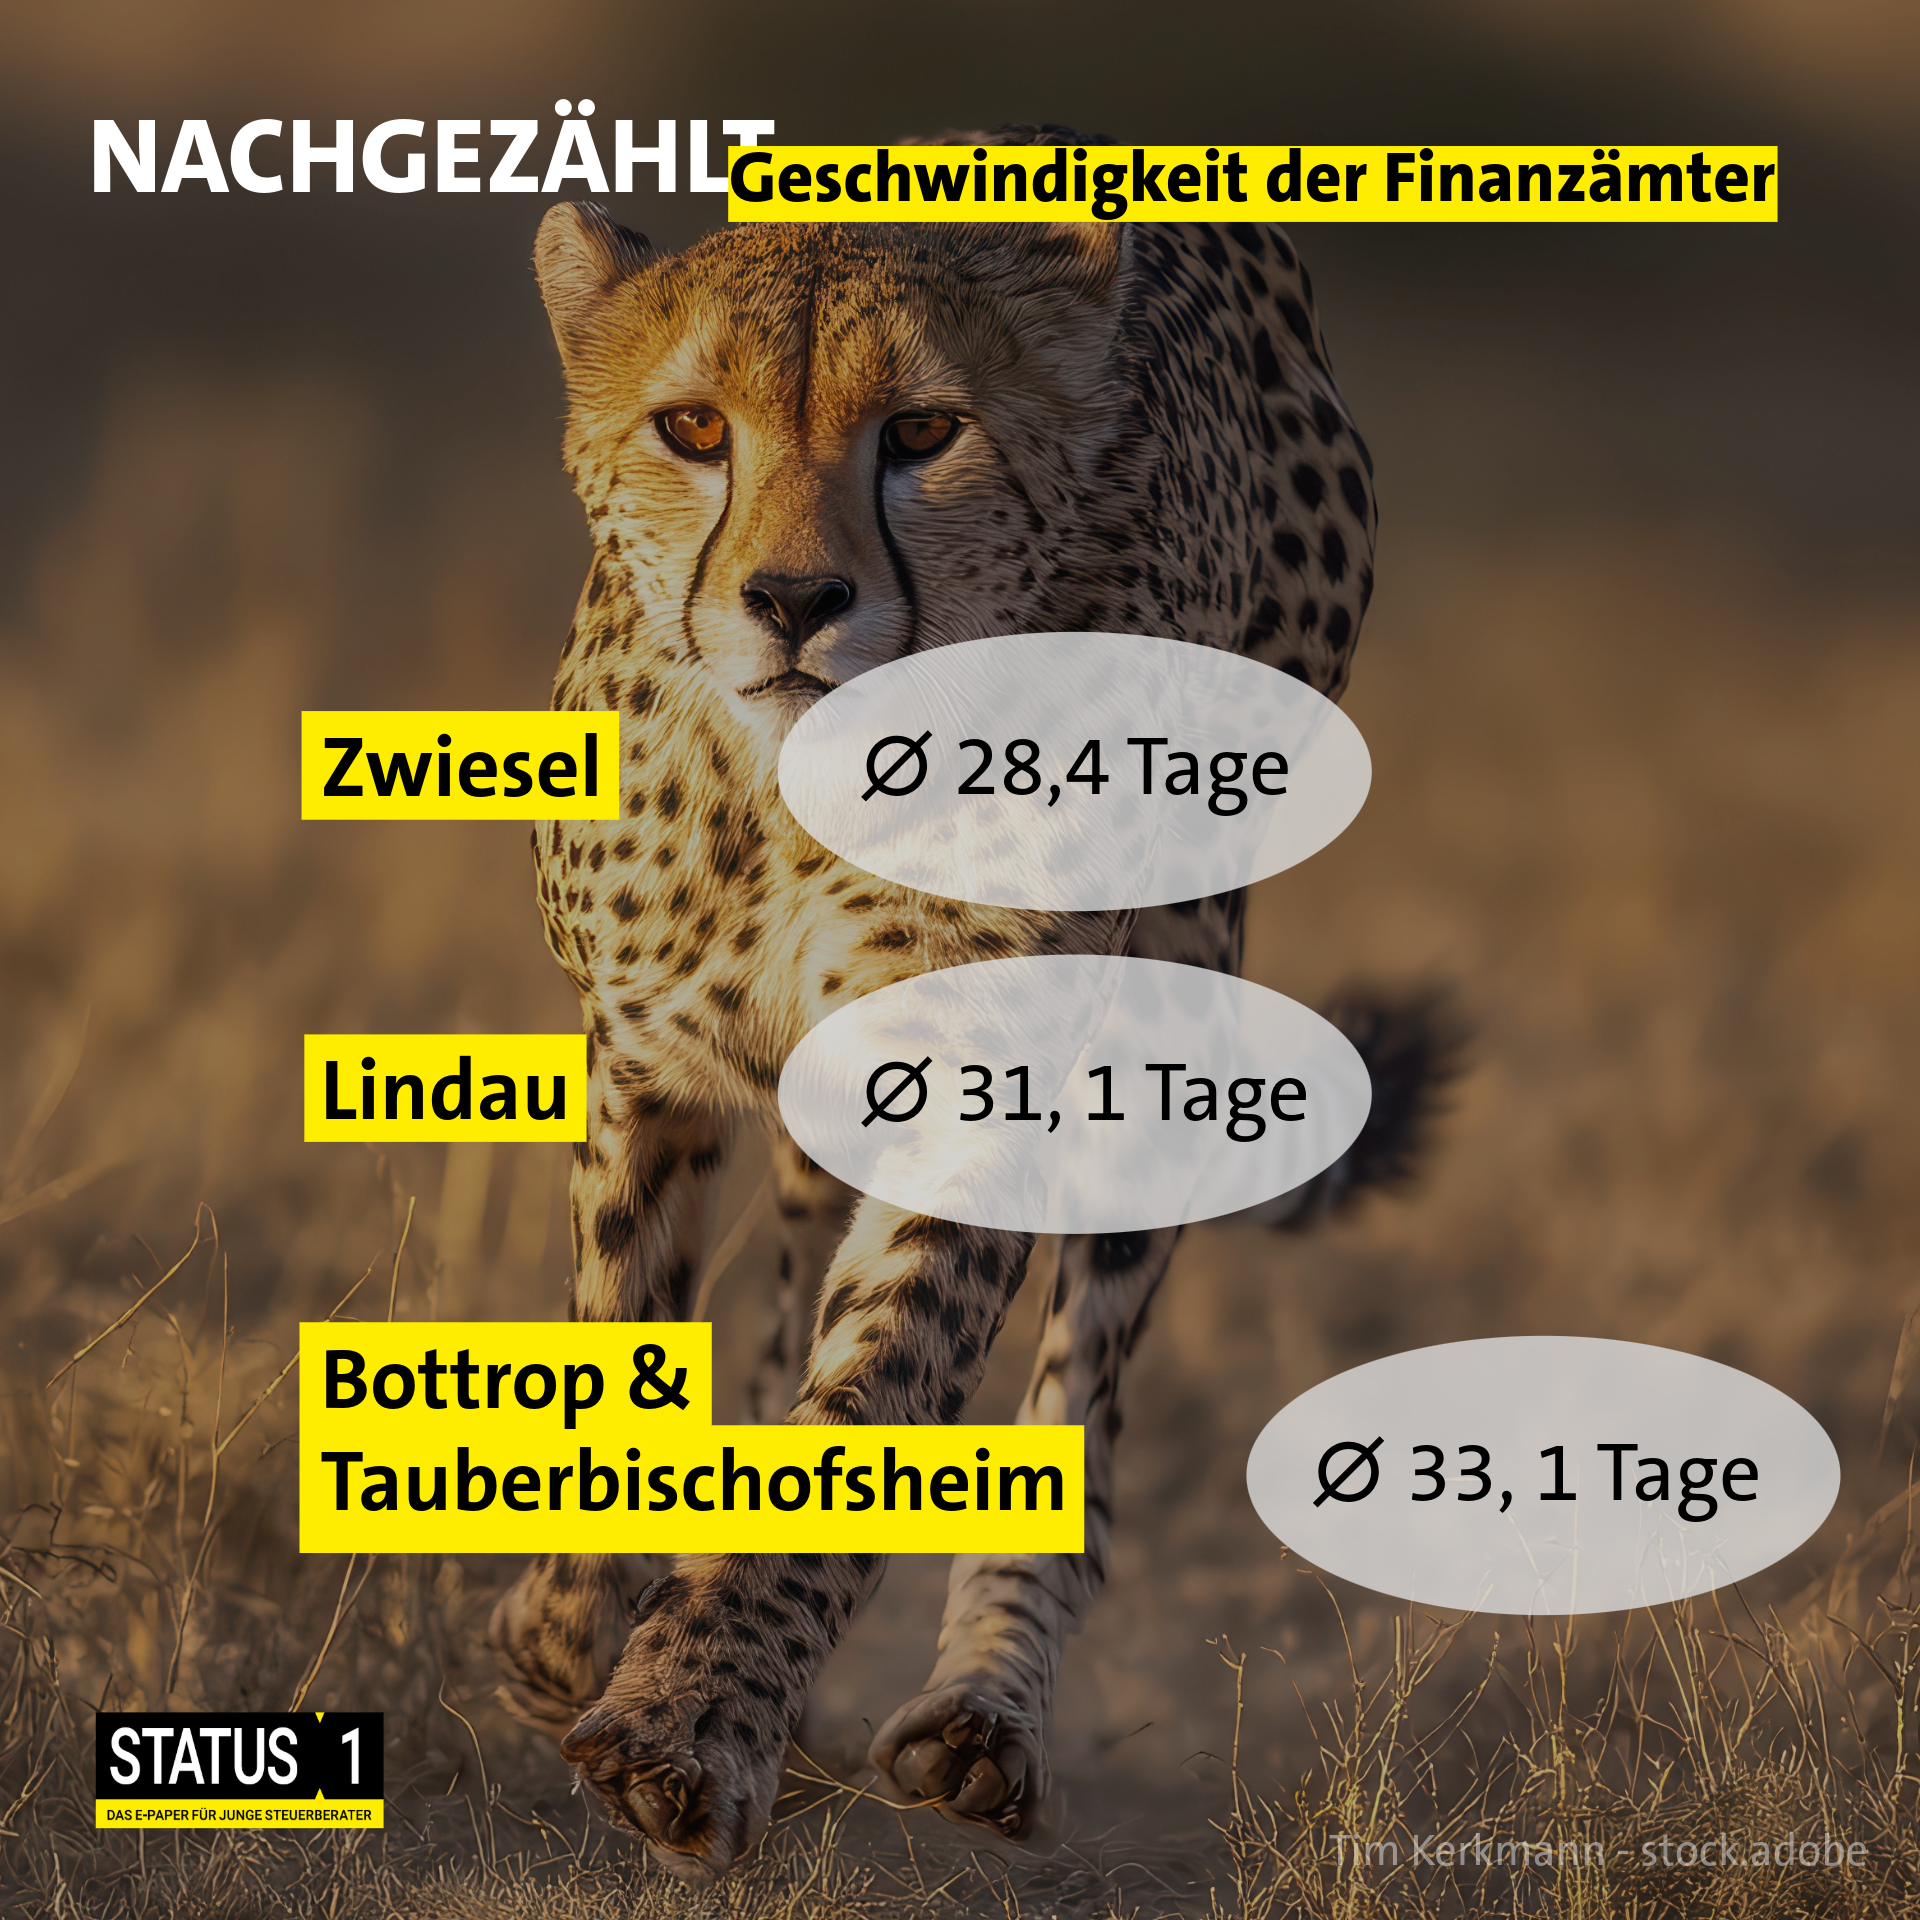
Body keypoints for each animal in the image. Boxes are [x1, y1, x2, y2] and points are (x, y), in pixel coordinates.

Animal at [486, 128, 1450, 1883]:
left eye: (923, 432)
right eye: (693, 428)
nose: (795, 599)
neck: (788, 787)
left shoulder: (988, 1066)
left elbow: (877, 1399)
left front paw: (687, 1721)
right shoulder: (647, 1054)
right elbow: (628, 1354)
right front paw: (578, 1634)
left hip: (1176, 981)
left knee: (1087, 1395)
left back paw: (984, 1713)